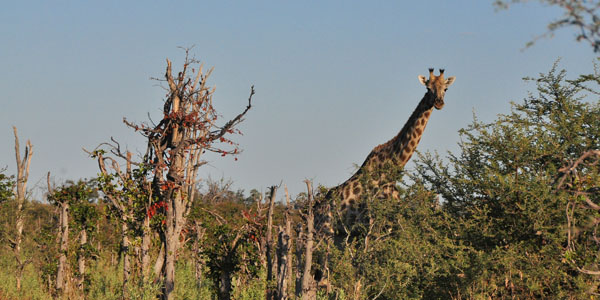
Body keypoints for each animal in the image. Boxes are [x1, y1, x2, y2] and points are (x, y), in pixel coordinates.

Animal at [318, 68, 454, 234]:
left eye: (445, 89)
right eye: (428, 88)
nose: (439, 103)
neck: (393, 166)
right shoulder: (376, 222)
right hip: (325, 229)